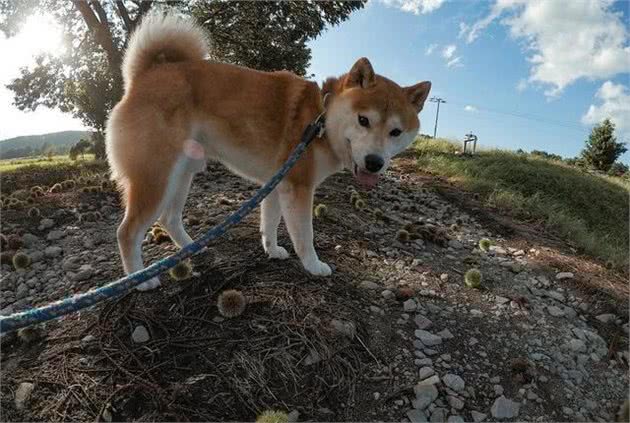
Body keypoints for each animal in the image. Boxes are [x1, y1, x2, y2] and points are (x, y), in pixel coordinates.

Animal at [108, 14, 432, 292]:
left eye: (395, 132)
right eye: (363, 120)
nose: (374, 163)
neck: (321, 117)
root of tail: (145, 75)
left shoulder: (278, 182)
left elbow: (270, 222)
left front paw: (272, 249)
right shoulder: (298, 186)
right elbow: (304, 234)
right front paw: (313, 265)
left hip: (182, 171)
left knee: (169, 218)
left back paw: (192, 247)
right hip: (157, 175)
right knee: (127, 232)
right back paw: (140, 280)